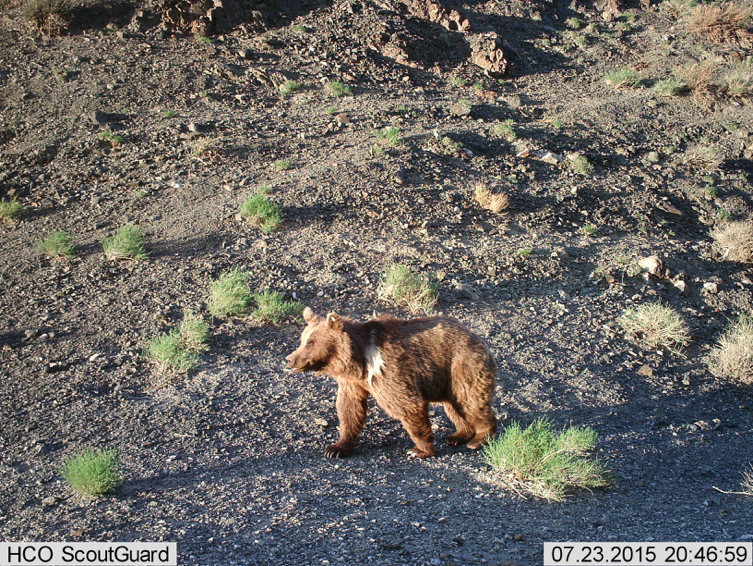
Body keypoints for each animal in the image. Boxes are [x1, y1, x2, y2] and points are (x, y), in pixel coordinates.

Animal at [284, 308, 496, 460]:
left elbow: (407, 404)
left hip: (461, 366)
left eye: (311, 342)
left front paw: (420, 449)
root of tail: (477, 338)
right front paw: (336, 448)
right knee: (454, 406)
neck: (359, 362)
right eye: (302, 339)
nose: (290, 359)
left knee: (469, 400)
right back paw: (458, 435)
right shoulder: (352, 383)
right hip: (445, 379)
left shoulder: (389, 370)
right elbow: (349, 409)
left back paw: (480, 438)